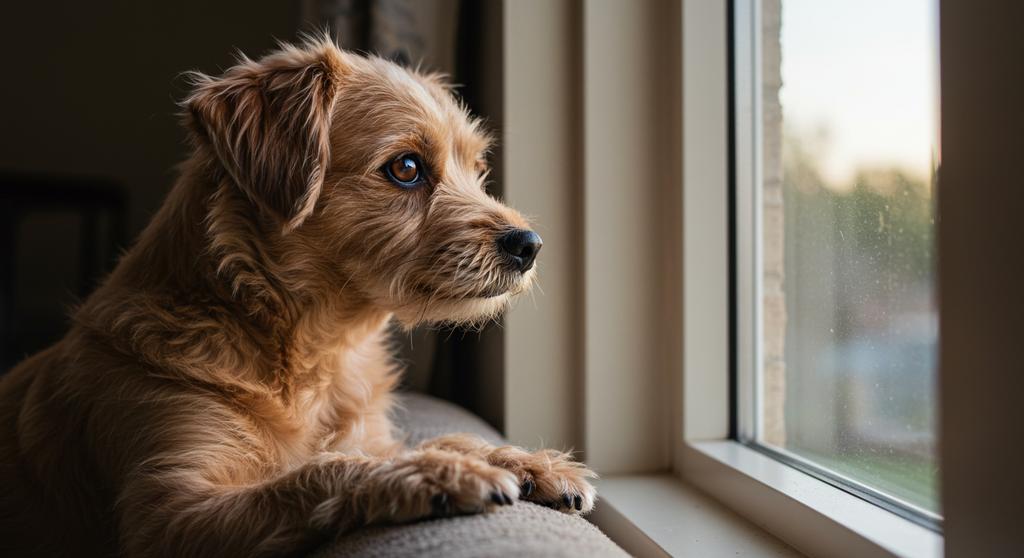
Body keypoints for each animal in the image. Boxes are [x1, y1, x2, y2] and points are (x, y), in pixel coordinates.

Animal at [0, 36, 598, 552]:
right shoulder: (170, 515)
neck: (316, 352)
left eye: (477, 169)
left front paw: (520, 461)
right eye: (406, 168)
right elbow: (318, 473)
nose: (530, 245)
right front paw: (436, 474)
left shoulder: (368, 433)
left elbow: (437, 438)